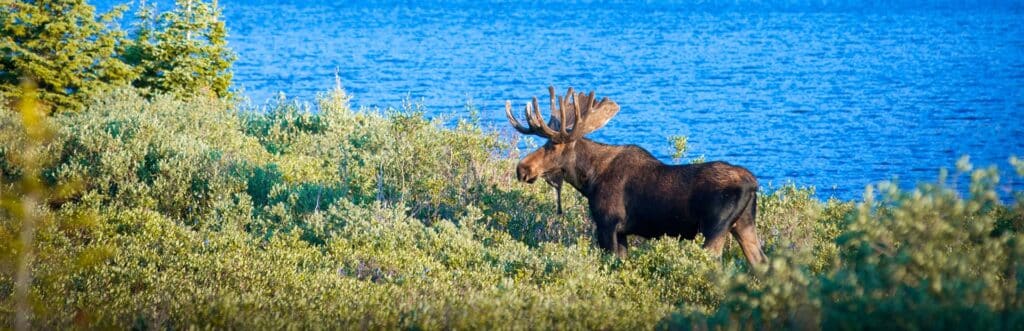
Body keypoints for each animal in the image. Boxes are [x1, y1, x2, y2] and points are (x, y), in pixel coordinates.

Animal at [507, 87, 765, 266]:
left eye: (552, 146)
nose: (522, 169)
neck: (589, 180)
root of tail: (753, 184)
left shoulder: (608, 224)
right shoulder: (622, 232)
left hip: (715, 227)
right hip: (744, 224)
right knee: (760, 262)